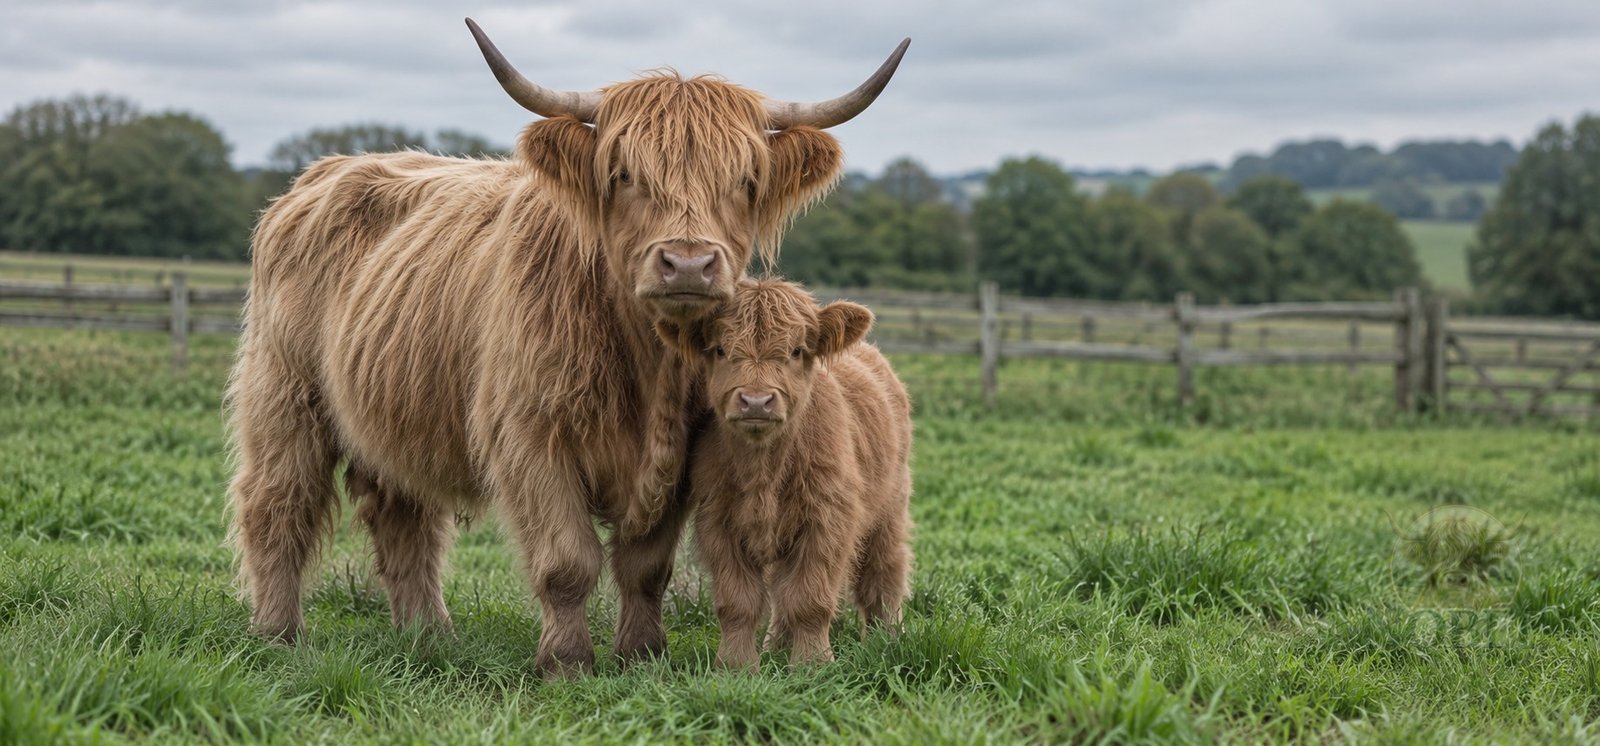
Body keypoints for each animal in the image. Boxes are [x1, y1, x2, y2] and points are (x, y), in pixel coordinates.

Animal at [654, 278, 914, 671]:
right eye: (720, 349)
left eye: (796, 350)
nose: (756, 402)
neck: (764, 469)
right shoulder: (717, 522)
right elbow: (738, 601)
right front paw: (736, 665)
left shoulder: (827, 521)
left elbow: (809, 599)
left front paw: (812, 665)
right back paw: (775, 645)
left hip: (890, 508)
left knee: (884, 574)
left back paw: (887, 640)